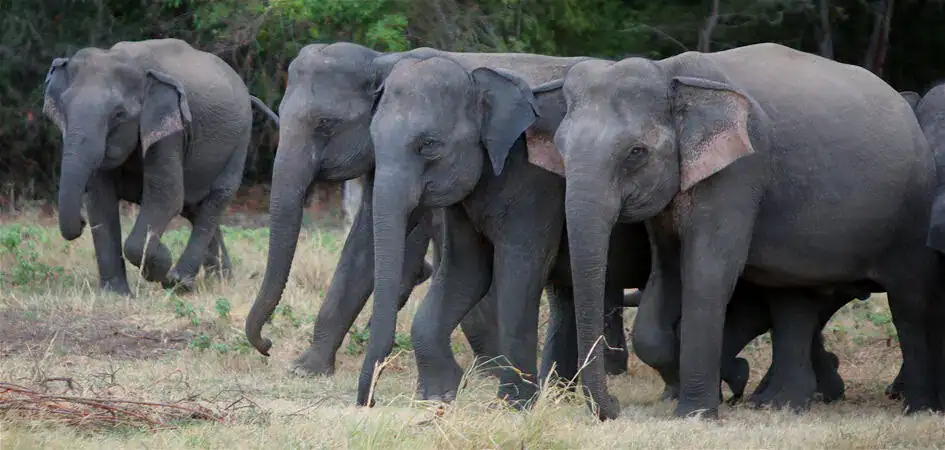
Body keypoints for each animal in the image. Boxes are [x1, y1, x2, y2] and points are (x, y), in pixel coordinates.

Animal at [42, 38, 280, 295]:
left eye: (119, 114)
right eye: (63, 108)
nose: (81, 222)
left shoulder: (171, 132)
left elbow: (165, 197)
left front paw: (161, 262)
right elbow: (100, 199)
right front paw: (115, 294)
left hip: (240, 141)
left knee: (215, 200)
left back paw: (179, 281)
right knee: (196, 208)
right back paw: (219, 280)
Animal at [546, 42, 943, 420]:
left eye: (636, 152)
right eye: (560, 149)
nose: (613, 406)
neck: (671, 73)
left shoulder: (739, 171)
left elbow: (709, 270)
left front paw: (698, 412)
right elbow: (666, 273)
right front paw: (721, 382)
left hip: (912, 213)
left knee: (907, 302)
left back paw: (916, 407)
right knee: (795, 301)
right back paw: (781, 404)